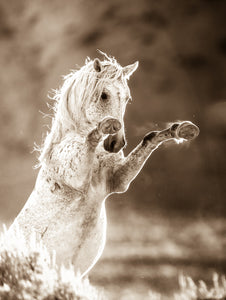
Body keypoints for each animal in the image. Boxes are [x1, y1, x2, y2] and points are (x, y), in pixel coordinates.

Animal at [7, 53, 199, 276]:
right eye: (104, 95)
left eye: (127, 98)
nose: (116, 143)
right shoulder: (78, 179)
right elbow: (93, 135)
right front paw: (106, 126)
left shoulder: (116, 181)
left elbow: (150, 138)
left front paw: (182, 129)